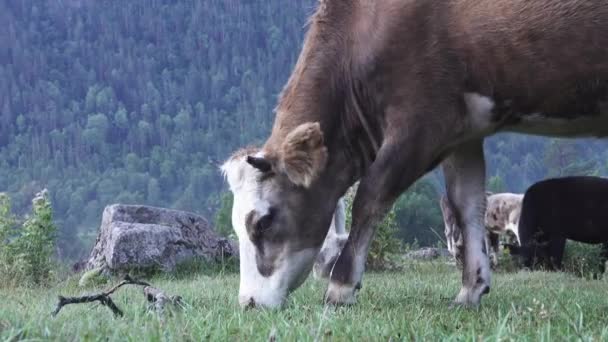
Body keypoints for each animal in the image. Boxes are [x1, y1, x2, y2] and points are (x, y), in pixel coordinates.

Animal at [221, 0, 608, 308]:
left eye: (262, 222)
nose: (249, 302)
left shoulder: (422, 123)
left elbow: (371, 196)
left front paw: (341, 285)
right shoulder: (464, 132)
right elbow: (467, 204)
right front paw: (471, 288)